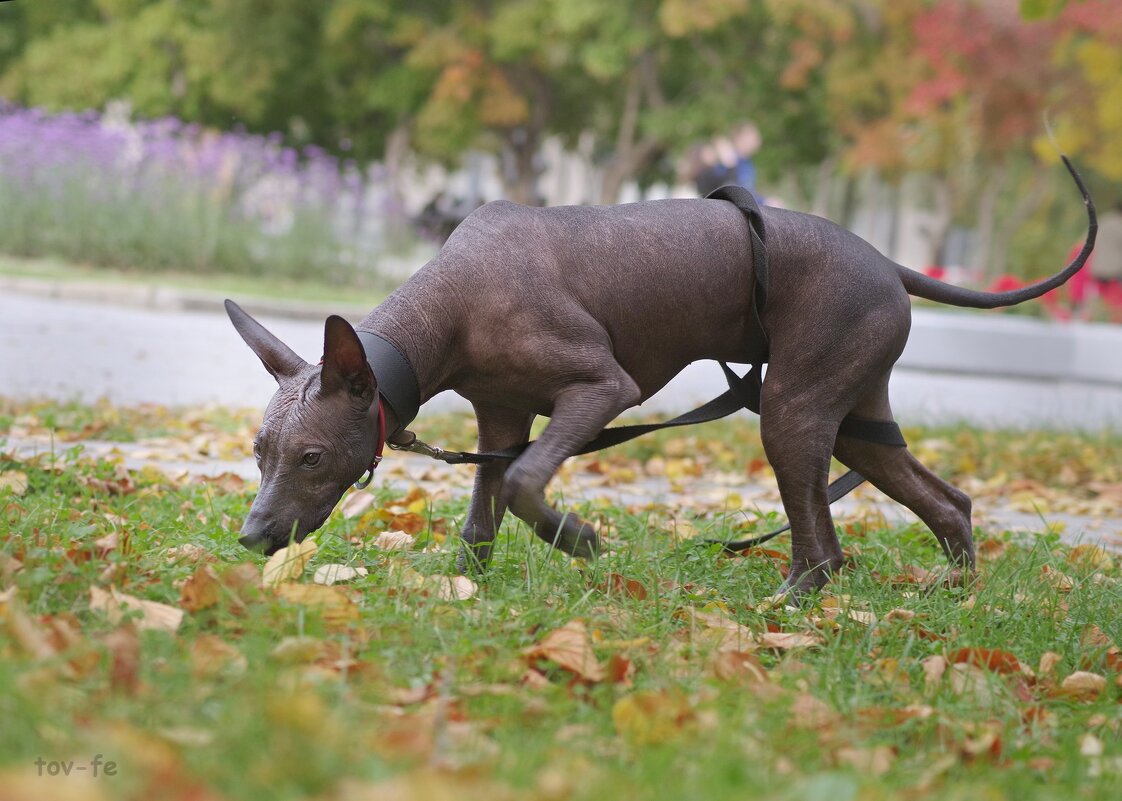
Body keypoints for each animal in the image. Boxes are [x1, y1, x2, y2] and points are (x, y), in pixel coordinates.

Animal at [227, 159, 1095, 601]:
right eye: (258, 453)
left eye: (310, 457)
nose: (251, 537)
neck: (452, 305)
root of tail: (891, 263)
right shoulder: (500, 419)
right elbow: (481, 517)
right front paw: (465, 589)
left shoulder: (601, 390)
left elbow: (526, 483)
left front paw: (577, 538)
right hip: (853, 419)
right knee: (946, 500)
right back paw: (957, 594)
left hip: (791, 408)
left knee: (823, 546)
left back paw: (786, 611)